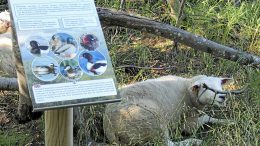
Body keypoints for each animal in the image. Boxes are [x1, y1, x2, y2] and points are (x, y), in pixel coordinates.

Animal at [102, 74, 233, 145]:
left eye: (220, 84)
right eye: (205, 87)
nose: (223, 96)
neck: (188, 90)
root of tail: (110, 129)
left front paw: (229, 122)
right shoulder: (187, 122)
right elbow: (205, 117)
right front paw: (226, 122)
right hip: (152, 119)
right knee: (168, 144)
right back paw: (193, 141)